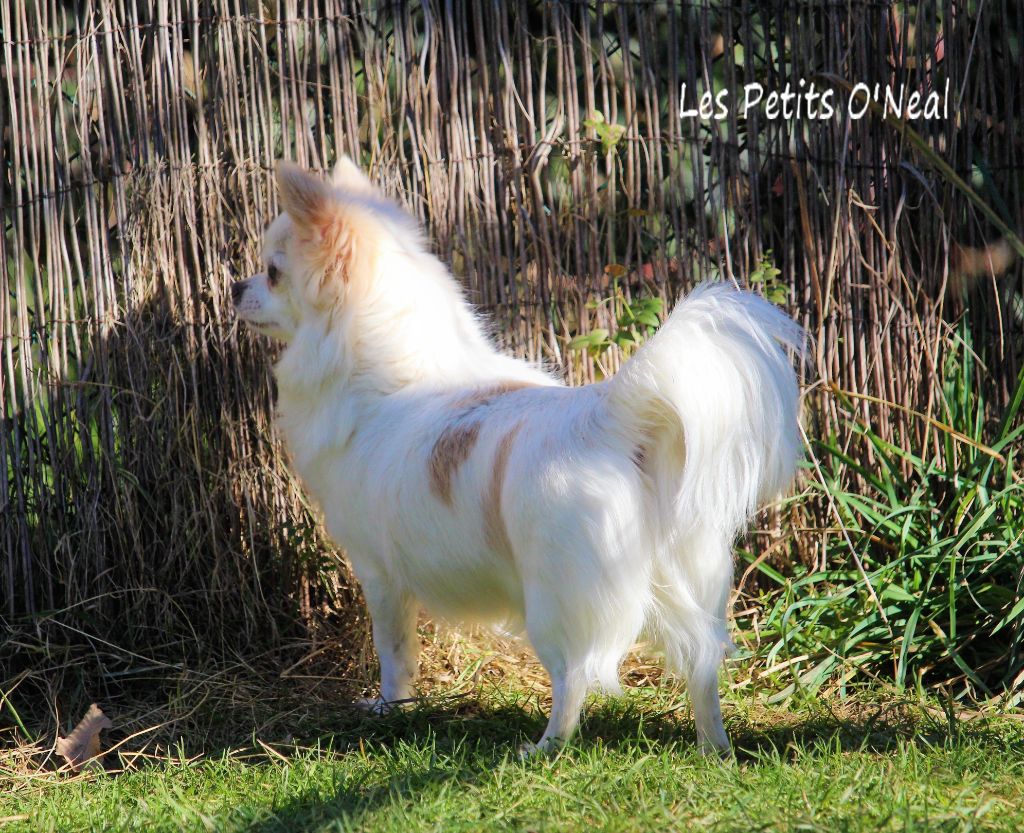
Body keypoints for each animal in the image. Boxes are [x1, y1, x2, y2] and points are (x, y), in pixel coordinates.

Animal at [232, 158, 803, 756]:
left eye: (272, 273)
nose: (233, 286)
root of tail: (608, 418)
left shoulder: (379, 572)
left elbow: (393, 652)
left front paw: (389, 709)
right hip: (692, 577)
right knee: (703, 667)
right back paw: (714, 747)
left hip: (553, 602)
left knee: (575, 676)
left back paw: (545, 747)